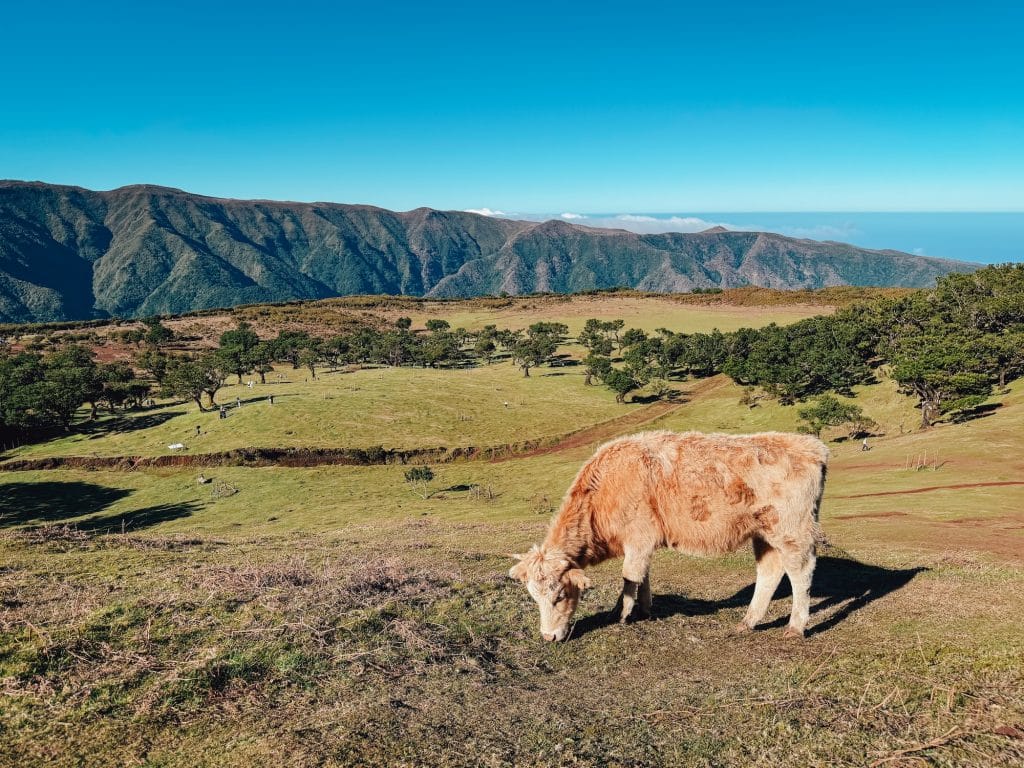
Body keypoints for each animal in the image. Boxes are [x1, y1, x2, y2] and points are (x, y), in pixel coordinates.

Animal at [509, 430, 829, 642]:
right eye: (534, 597)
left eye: (560, 595)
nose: (548, 637)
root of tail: (810, 445)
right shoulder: (642, 544)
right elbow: (643, 576)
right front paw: (645, 609)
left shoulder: (638, 538)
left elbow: (629, 576)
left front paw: (620, 613)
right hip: (764, 533)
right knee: (770, 572)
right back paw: (748, 621)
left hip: (792, 530)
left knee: (800, 572)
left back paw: (796, 627)